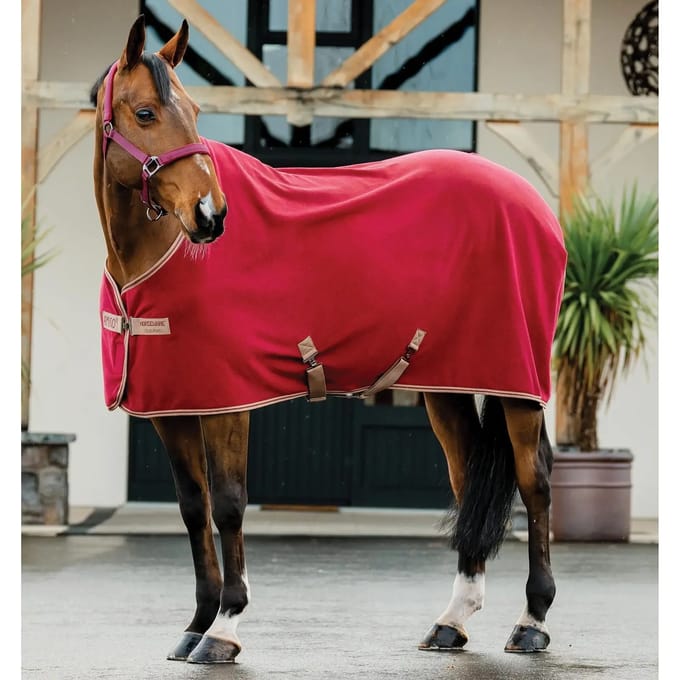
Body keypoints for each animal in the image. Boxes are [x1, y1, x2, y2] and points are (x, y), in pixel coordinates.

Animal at [90, 16, 566, 664]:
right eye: (145, 113)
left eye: (194, 110)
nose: (211, 215)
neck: (158, 256)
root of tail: (535, 205)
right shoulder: (173, 408)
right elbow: (193, 509)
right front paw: (194, 624)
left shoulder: (228, 406)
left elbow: (230, 505)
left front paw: (223, 629)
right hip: (447, 385)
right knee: (468, 477)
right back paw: (452, 621)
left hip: (517, 385)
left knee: (533, 481)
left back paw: (532, 621)